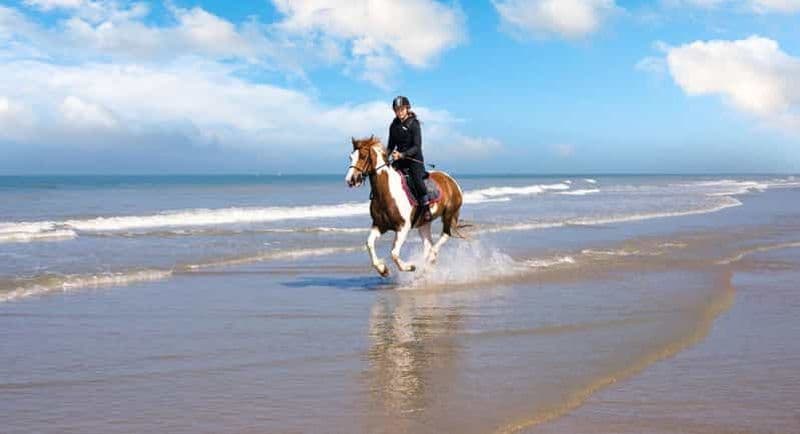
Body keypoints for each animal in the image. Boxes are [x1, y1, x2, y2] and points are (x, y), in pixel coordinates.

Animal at [345, 136, 466, 277]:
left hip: (448, 214)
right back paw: (425, 267)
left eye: (363, 156)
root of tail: (451, 180)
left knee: (445, 235)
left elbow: (394, 253)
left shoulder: (403, 228)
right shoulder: (379, 225)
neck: (386, 192)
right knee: (428, 244)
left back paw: (429, 259)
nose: (351, 180)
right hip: (424, 223)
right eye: (350, 157)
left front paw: (410, 267)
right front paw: (382, 269)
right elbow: (369, 244)